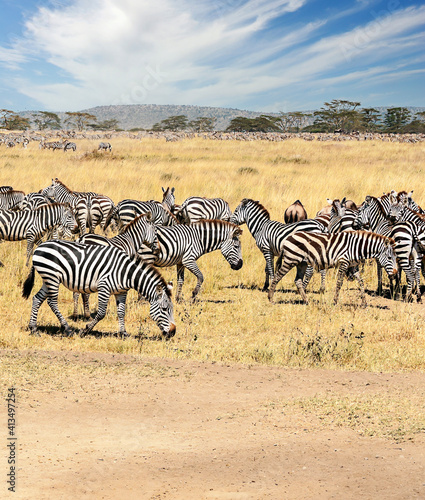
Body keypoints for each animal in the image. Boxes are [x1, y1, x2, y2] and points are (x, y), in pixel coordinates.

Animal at [22, 240, 175, 338]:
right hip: (52, 277)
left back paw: (33, 328)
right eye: (164, 309)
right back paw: (67, 329)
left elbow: (121, 312)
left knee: (37, 298)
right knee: (52, 302)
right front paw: (85, 331)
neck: (126, 272)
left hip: (48, 279)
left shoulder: (121, 292)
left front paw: (123, 333)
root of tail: (40, 246)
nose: (173, 333)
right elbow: (101, 313)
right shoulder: (104, 287)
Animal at [266, 231, 396, 308]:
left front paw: (364, 303)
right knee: (277, 277)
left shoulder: (353, 265)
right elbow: (339, 282)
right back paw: (270, 298)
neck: (356, 247)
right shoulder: (344, 261)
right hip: (290, 260)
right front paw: (335, 301)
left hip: (301, 263)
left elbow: (361, 283)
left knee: (297, 281)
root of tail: (288, 238)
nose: (394, 273)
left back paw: (306, 301)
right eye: (390, 257)